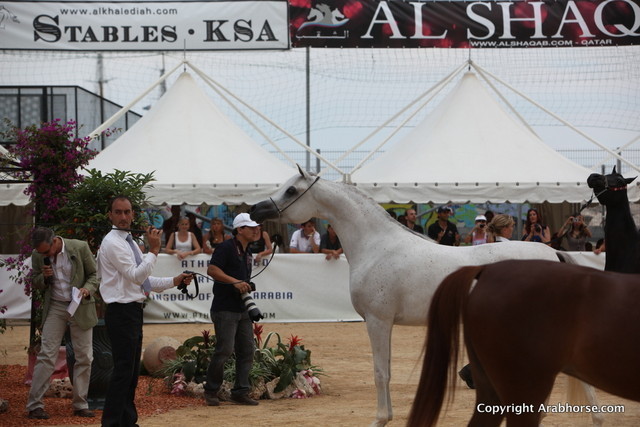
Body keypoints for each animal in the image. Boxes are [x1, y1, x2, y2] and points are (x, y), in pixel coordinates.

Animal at [249, 167, 599, 426]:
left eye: (291, 191)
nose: (255, 209)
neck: (377, 246)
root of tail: (553, 254)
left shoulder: (377, 321)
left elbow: (380, 373)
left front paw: (379, 419)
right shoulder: (386, 324)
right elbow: (387, 371)